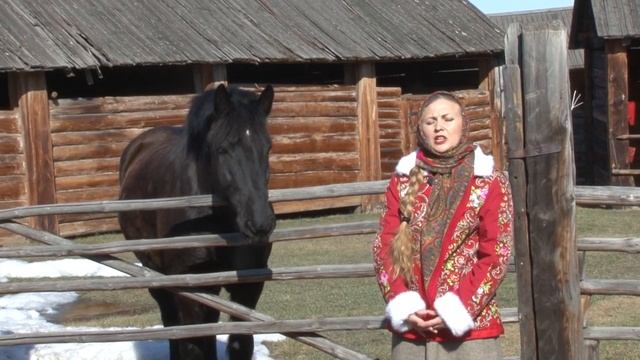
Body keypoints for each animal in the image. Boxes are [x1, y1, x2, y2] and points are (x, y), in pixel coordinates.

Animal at [119, 84, 276, 360]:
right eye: (222, 149)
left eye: (267, 148)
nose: (260, 224)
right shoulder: (191, 285)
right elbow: (194, 344)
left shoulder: (248, 285)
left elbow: (239, 343)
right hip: (156, 272)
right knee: (173, 323)